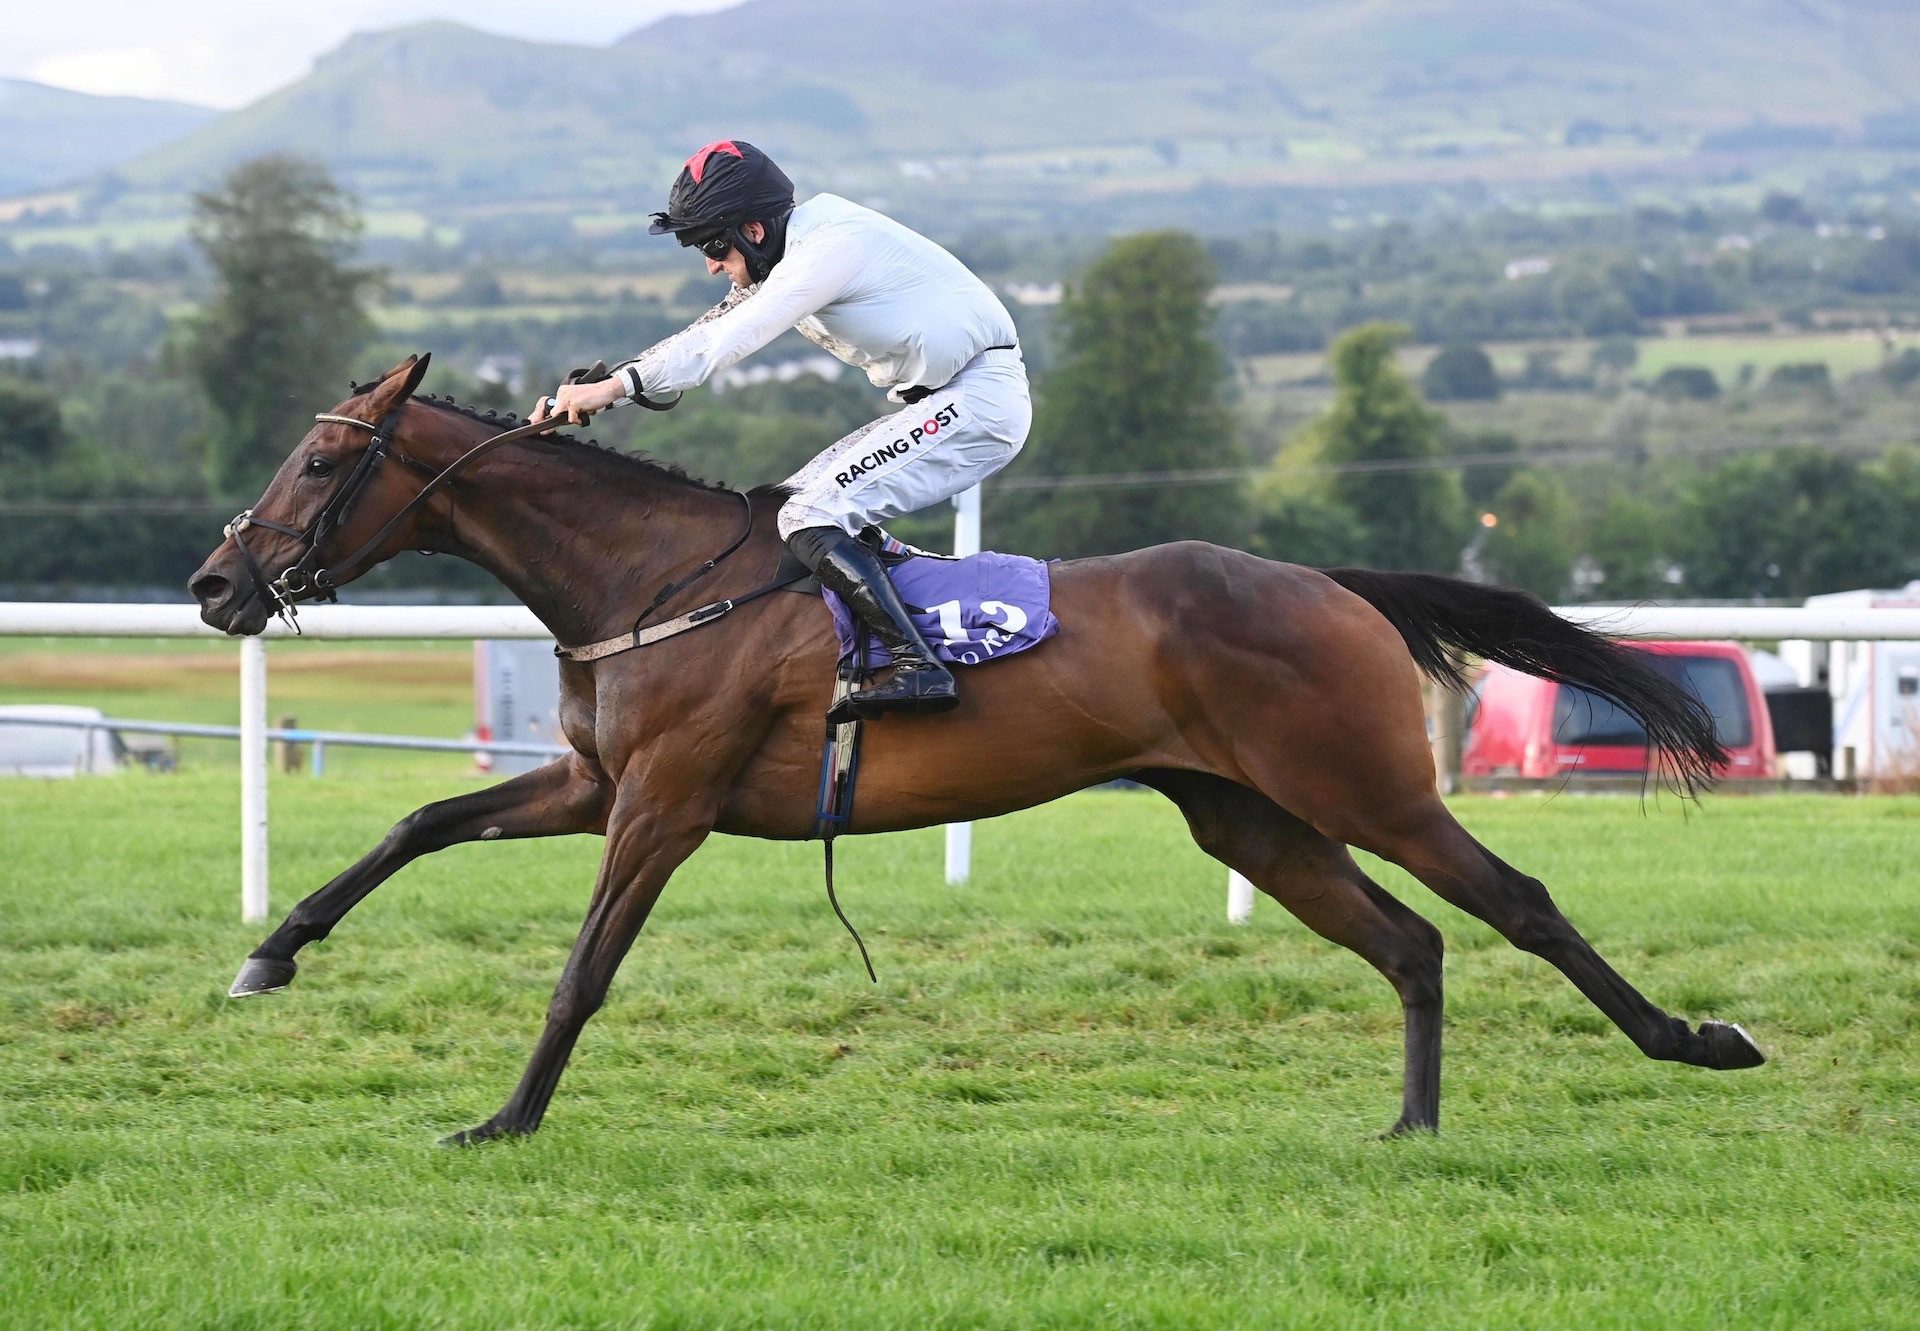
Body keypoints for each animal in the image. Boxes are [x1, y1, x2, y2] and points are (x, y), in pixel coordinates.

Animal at [187, 353, 1758, 1144]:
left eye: (320, 461)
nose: (214, 584)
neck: (650, 575)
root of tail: (1326, 580)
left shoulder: (665, 802)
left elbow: (584, 968)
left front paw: (505, 1118)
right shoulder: (594, 780)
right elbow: (413, 828)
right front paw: (270, 952)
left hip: (1357, 781)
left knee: (1515, 905)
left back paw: (1695, 1038)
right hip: (1249, 815)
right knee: (1410, 939)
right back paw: (1412, 1126)